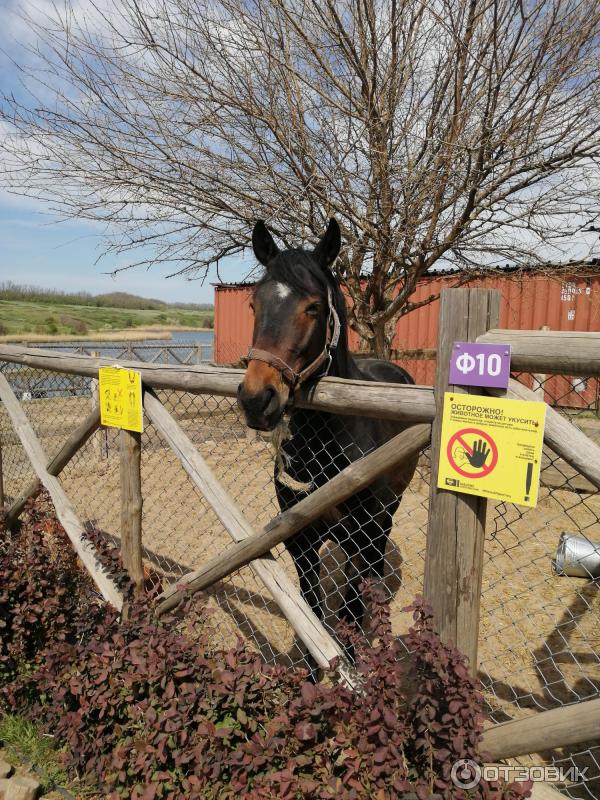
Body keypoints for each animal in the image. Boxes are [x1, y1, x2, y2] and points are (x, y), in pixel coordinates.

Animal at [236, 219, 418, 664]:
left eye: (314, 307)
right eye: (253, 305)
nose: (256, 399)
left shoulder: (358, 536)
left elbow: (348, 609)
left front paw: (350, 665)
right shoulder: (300, 542)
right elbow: (312, 610)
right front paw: (311, 667)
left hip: (384, 514)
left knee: (375, 560)